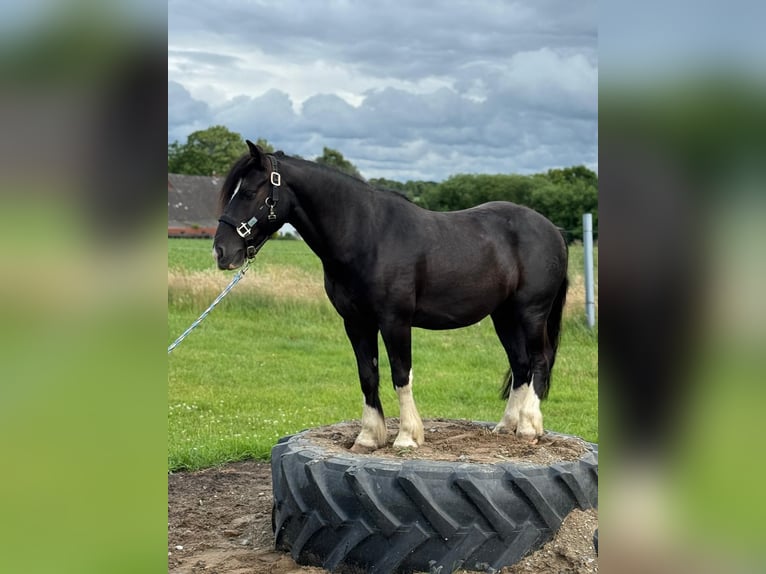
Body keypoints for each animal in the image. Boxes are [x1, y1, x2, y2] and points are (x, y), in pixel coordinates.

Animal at [213, 141, 568, 452]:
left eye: (249, 192)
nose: (221, 251)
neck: (368, 235)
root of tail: (553, 230)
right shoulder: (356, 322)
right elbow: (368, 375)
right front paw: (369, 437)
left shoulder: (395, 321)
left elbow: (400, 373)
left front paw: (407, 437)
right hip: (504, 315)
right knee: (520, 364)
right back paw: (506, 426)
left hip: (531, 312)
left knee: (538, 360)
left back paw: (528, 427)